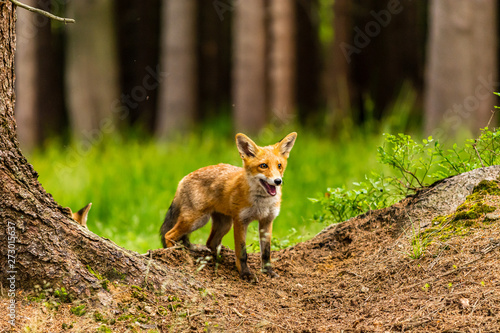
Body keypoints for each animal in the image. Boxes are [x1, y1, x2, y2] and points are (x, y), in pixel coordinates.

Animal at [159, 132, 296, 280]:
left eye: (279, 165)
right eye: (263, 165)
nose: (278, 181)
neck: (261, 203)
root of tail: (183, 179)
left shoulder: (267, 221)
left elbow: (266, 252)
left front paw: (268, 272)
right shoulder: (240, 221)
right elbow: (242, 253)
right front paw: (245, 274)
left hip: (223, 224)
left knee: (210, 242)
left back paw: (218, 259)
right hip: (196, 220)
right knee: (169, 234)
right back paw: (173, 254)